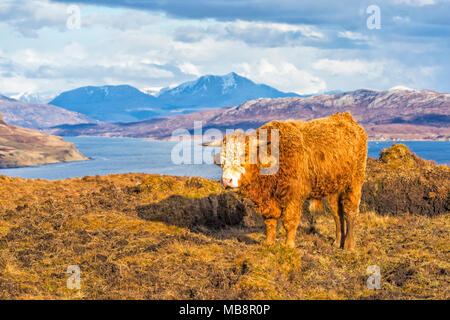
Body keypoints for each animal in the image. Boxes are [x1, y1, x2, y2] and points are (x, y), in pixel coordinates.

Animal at [202, 112, 368, 250]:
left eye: (245, 155)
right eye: (222, 160)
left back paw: (348, 246)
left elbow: (289, 221)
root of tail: (346, 117)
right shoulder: (268, 200)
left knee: (350, 212)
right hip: (333, 187)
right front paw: (269, 243)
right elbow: (270, 221)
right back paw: (337, 243)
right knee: (337, 214)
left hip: (354, 181)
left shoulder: (294, 196)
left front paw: (289, 245)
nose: (227, 180)